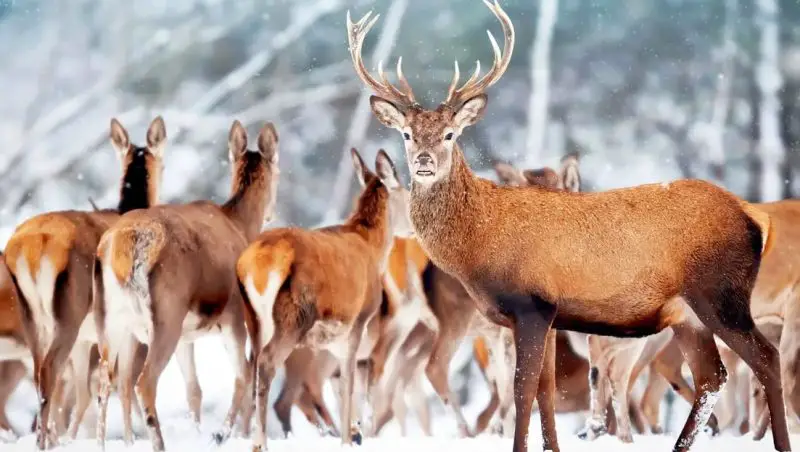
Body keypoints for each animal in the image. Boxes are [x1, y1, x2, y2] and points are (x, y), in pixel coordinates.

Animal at [3, 116, 166, 450]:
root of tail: (31, 248)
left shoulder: (87, 339)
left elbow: (85, 391)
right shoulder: (124, 328)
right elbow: (124, 383)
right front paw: (128, 441)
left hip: (33, 318)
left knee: (40, 375)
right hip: (69, 312)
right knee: (49, 372)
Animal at [94, 120, 279, 452]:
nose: (272, 212)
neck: (241, 225)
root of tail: (123, 247)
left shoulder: (187, 335)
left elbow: (194, 389)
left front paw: (199, 431)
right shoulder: (234, 316)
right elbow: (244, 376)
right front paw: (220, 434)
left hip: (112, 317)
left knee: (106, 379)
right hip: (166, 313)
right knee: (144, 382)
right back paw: (159, 442)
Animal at [235, 148, 414, 451]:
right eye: (409, 191)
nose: (416, 228)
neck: (373, 249)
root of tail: (260, 262)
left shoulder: (332, 338)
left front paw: (354, 431)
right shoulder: (357, 322)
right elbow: (348, 383)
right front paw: (348, 438)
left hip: (253, 319)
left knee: (253, 367)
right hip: (294, 316)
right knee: (268, 363)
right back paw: (261, 443)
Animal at [347, 1, 792, 451]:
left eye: (451, 135)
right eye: (407, 134)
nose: (424, 162)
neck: (480, 244)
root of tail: (754, 216)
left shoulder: (531, 304)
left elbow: (522, 389)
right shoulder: (547, 315)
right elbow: (545, 389)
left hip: (721, 293)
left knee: (767, 358)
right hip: (687, 314)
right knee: (712, 376)